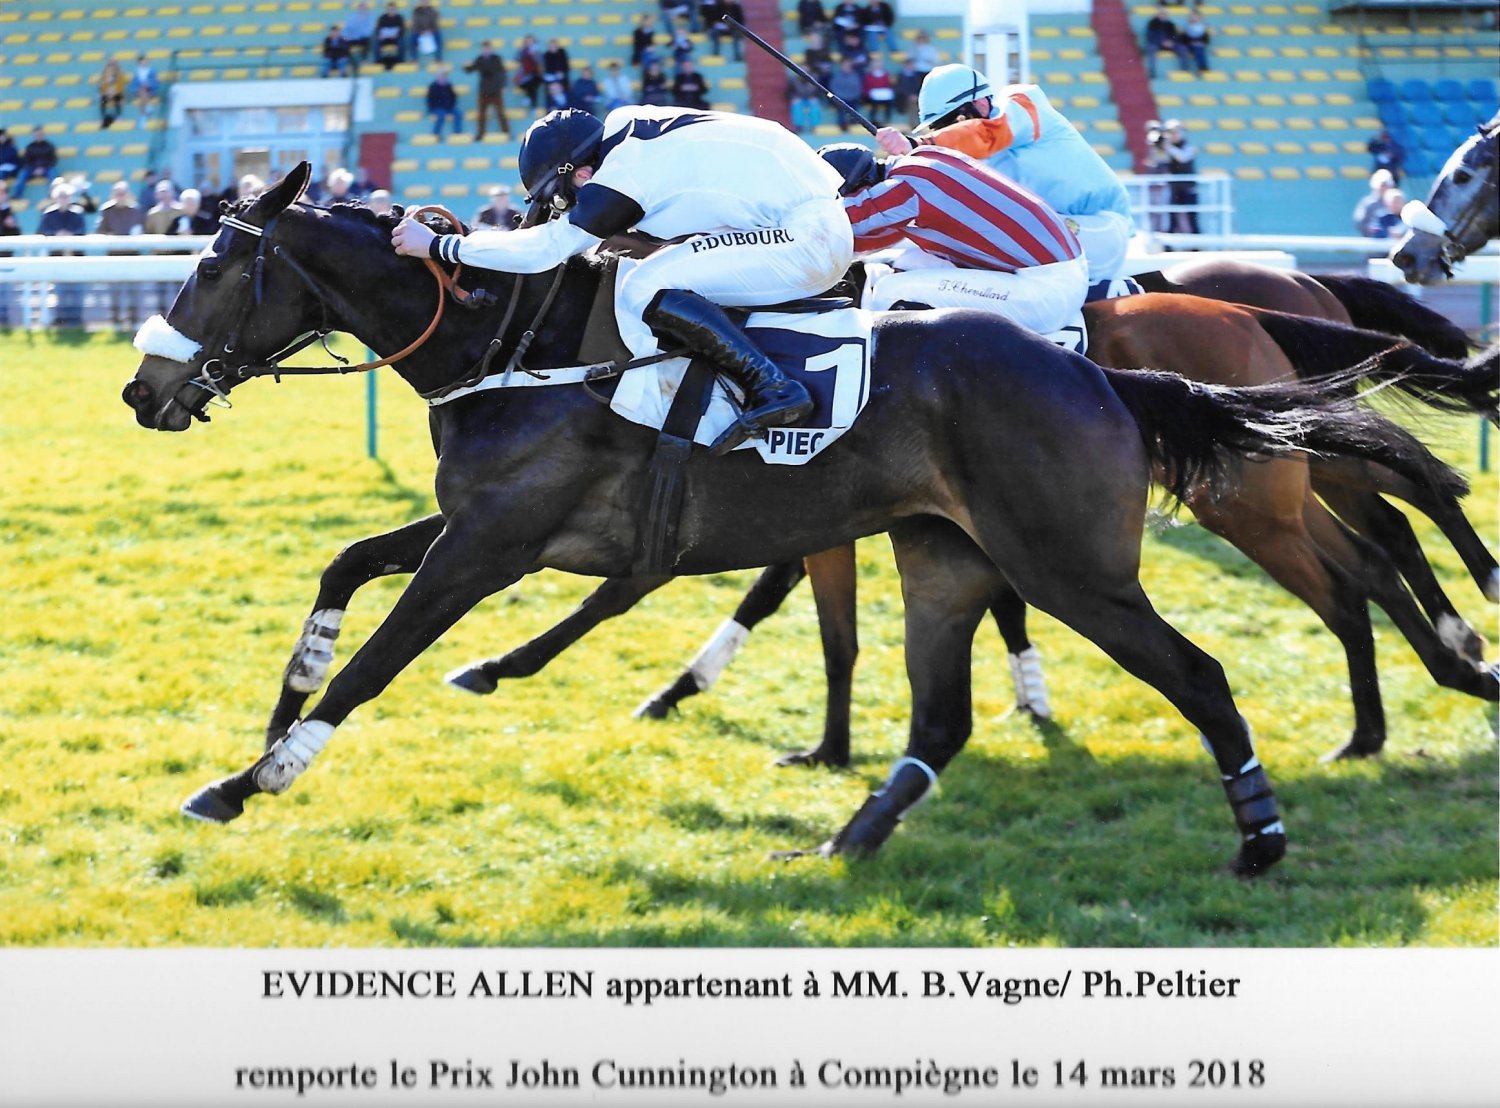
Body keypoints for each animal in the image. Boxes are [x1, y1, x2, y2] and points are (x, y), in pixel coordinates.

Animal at [121, 162, 1465, 875]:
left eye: (208, 267)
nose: (142, 391)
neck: (518, 347)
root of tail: (1102, 376)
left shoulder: (496, 547)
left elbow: (386, 659)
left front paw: (253, 777)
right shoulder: (499, 530)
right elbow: (347, 566)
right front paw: (286, 696)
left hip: (1080, 563)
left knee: (1219, 660)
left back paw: (1268, 826)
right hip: (946, 553)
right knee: (945, 710)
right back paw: (853, 836)